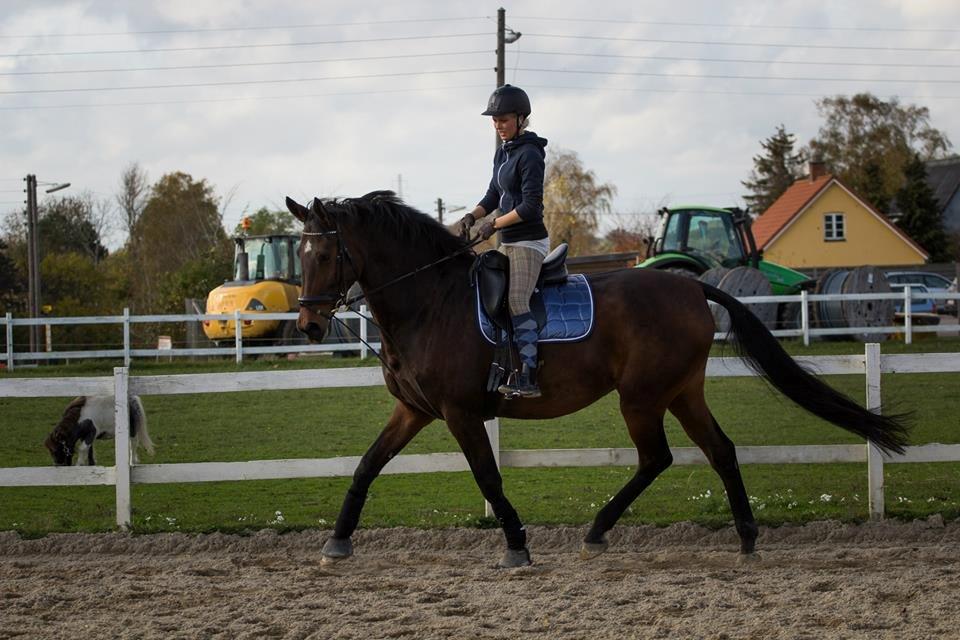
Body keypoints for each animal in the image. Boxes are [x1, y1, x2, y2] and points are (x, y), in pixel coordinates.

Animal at [284, 192, 908, 568]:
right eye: (300, 256)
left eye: (326, 255)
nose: (310, 325)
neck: (430, 302)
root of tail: (690, 285)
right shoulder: (414, 410)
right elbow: (367, 465)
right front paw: (337, 540)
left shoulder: (461, 413)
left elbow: (488, 477)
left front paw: (517, 546)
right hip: (681, 392)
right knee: (720, 450)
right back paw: (746, 537)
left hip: (642, 398)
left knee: (657, 458)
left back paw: (599, 529)